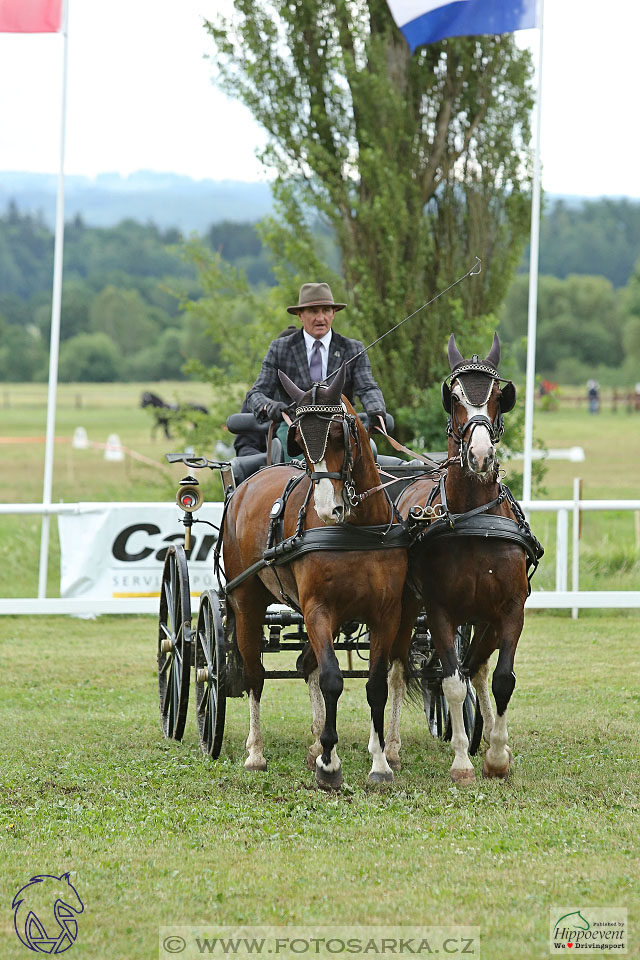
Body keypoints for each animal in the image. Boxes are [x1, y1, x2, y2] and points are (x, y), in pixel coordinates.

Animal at [220, 364, 410, 792]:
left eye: (339, 434)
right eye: (300, 443)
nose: (327, 508)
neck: (357, 529)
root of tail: (246, 485)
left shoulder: (386, 614)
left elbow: (375, 683)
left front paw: (379, 763)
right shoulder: (319, 610)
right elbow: (332, 679)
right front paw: (329, 764)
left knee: (305, 663)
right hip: (246, 601)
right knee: (255, 672)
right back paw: (256, 753)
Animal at [384, 334, 540, 784]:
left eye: (498, 398)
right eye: (453, 397)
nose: (481, 455)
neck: (474, 518)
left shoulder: (510, 609)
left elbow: (500, 679)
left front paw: (496, 756)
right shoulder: (440, 611)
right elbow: (451, 682)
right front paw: (461, 763)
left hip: (483, 617)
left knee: (479, 669)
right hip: (405, 607)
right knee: (398, 669)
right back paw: (391, 749)